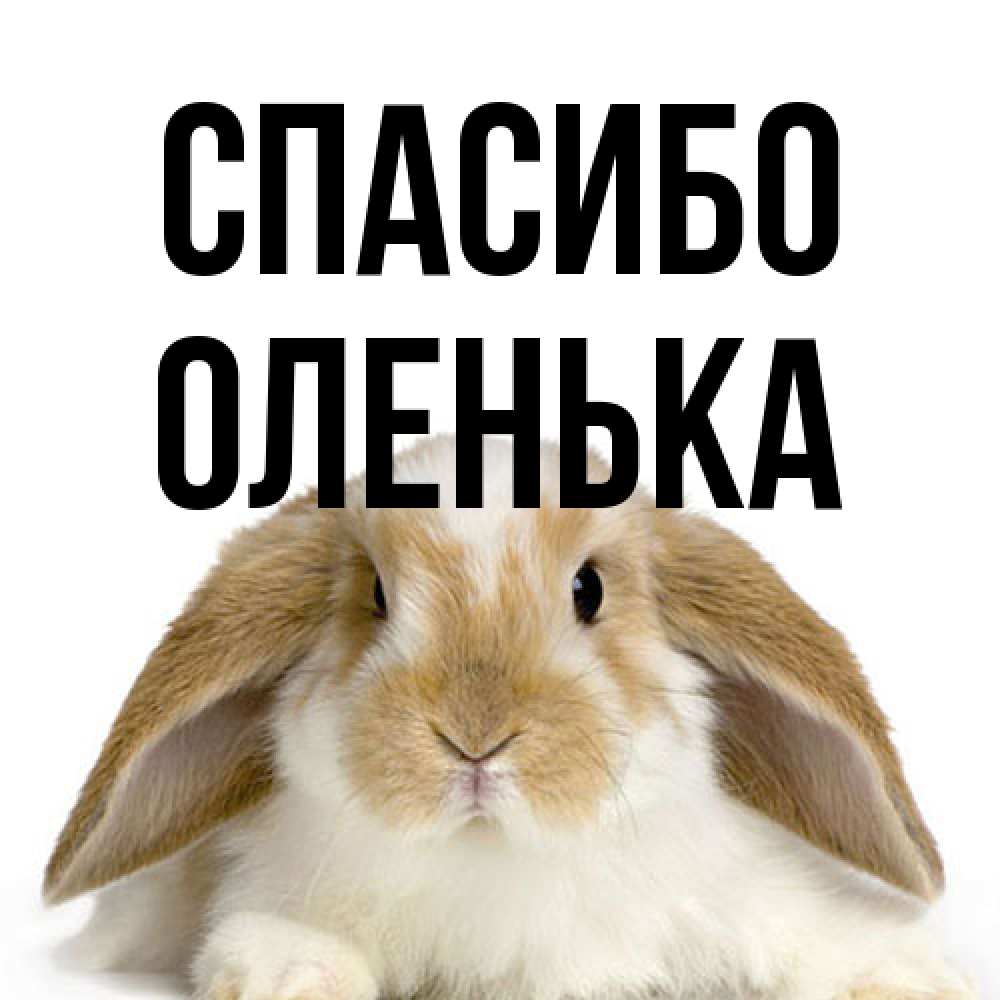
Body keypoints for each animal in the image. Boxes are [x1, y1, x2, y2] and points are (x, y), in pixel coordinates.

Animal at [45, 435, 975, 1000]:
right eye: (376, 596)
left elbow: (817, 939)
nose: (475, 737)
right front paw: (291, 977)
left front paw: (910, 978)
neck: (495, 857)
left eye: (589, 589)